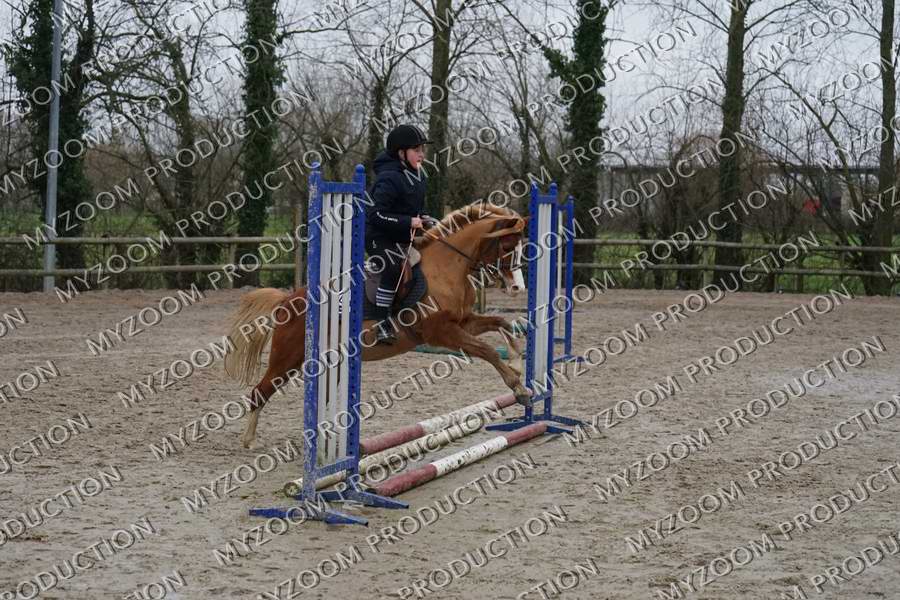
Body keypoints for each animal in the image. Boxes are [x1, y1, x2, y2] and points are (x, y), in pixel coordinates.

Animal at [223, 202, 533, 448]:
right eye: (508, 247)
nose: (517, 287)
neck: (446, 268)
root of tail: (287, 299)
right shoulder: (443, 333)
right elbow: (487, 351)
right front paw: (519, 389)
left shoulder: (463, 323)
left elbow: (501, 323)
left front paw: (517, 362)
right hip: (287, 358)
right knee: (260, 391)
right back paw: (249, 440)